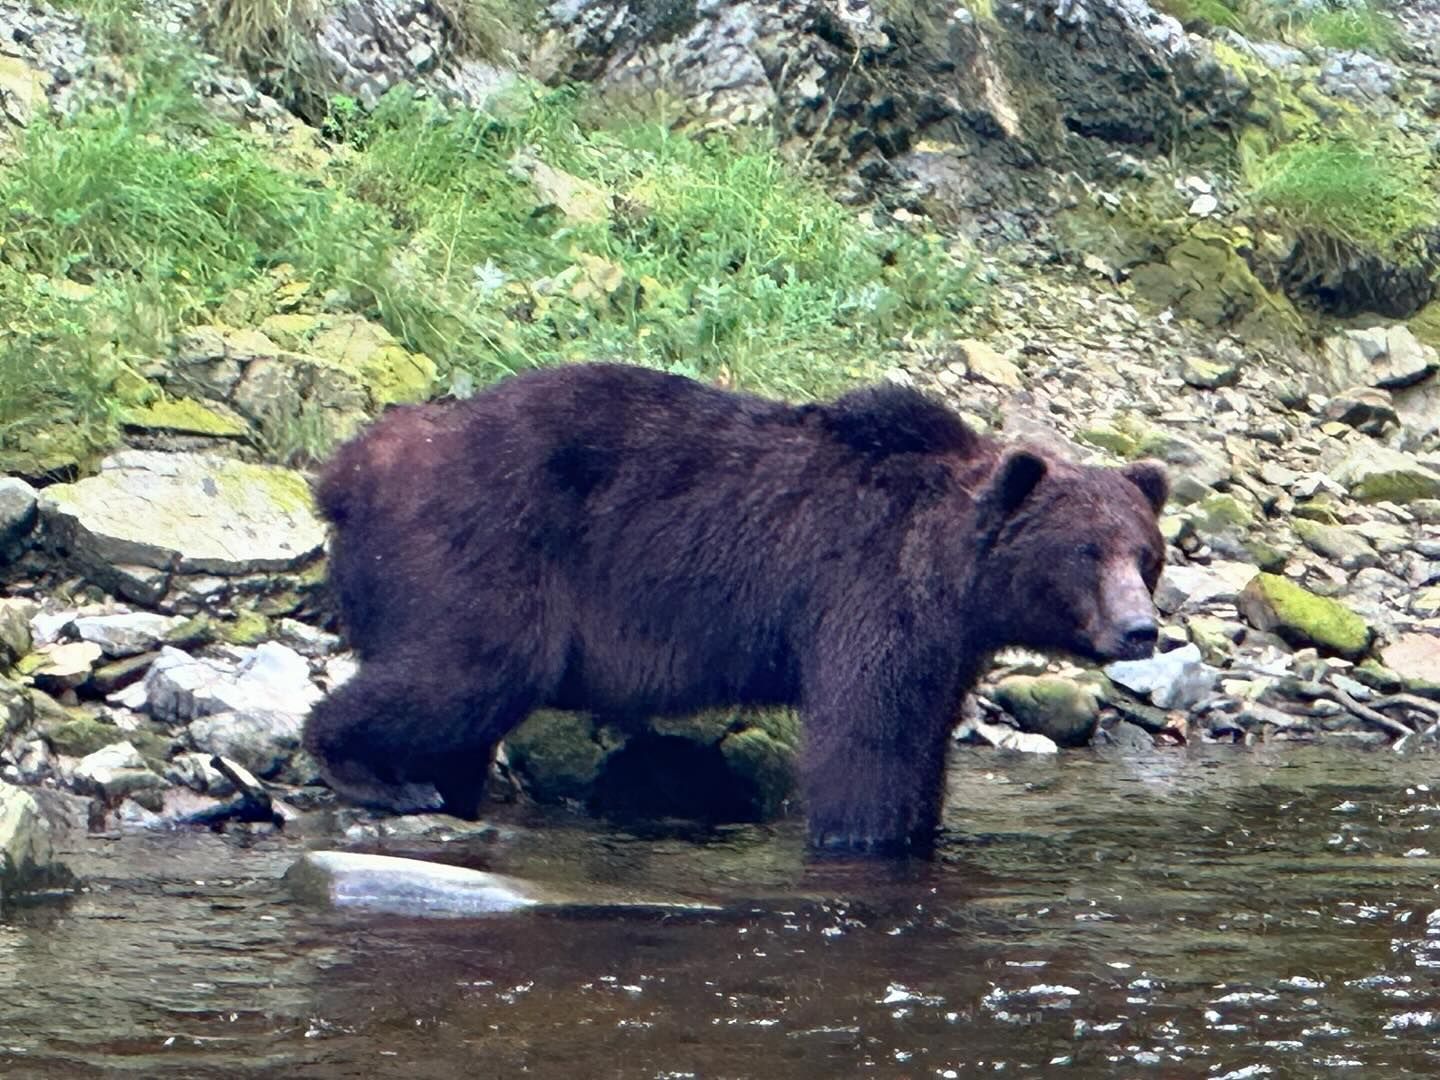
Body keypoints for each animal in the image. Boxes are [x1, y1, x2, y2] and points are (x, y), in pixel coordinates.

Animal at [303, 362, 1169, 855]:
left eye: (1145, 554)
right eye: (1085, 550)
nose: (1140, 629)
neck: (953, 573)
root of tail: (348, 471)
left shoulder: (944, 645)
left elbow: (920, 737)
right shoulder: (865, 590)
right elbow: (866, 737)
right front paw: (863, 836)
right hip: (486, 545)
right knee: (469, 672)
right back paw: (369, 771)